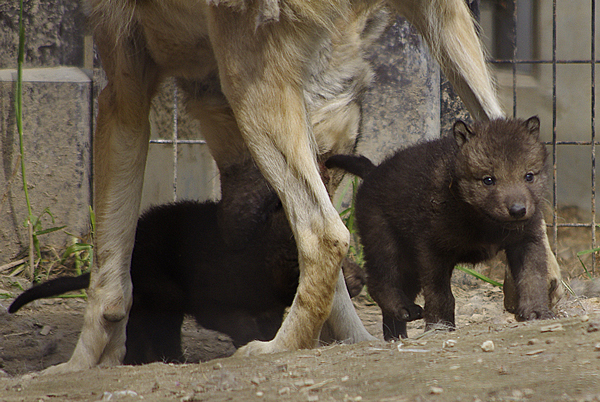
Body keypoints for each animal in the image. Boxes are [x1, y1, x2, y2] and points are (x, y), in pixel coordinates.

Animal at [44, 0, 560, 374]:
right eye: (328, 165)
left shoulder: (121, 90)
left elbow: (109, 277)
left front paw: (81, 366)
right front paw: (357, 341)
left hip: (248, 75)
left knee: (325, 235)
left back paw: (278, 347)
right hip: (444, 27)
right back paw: (541, 288)